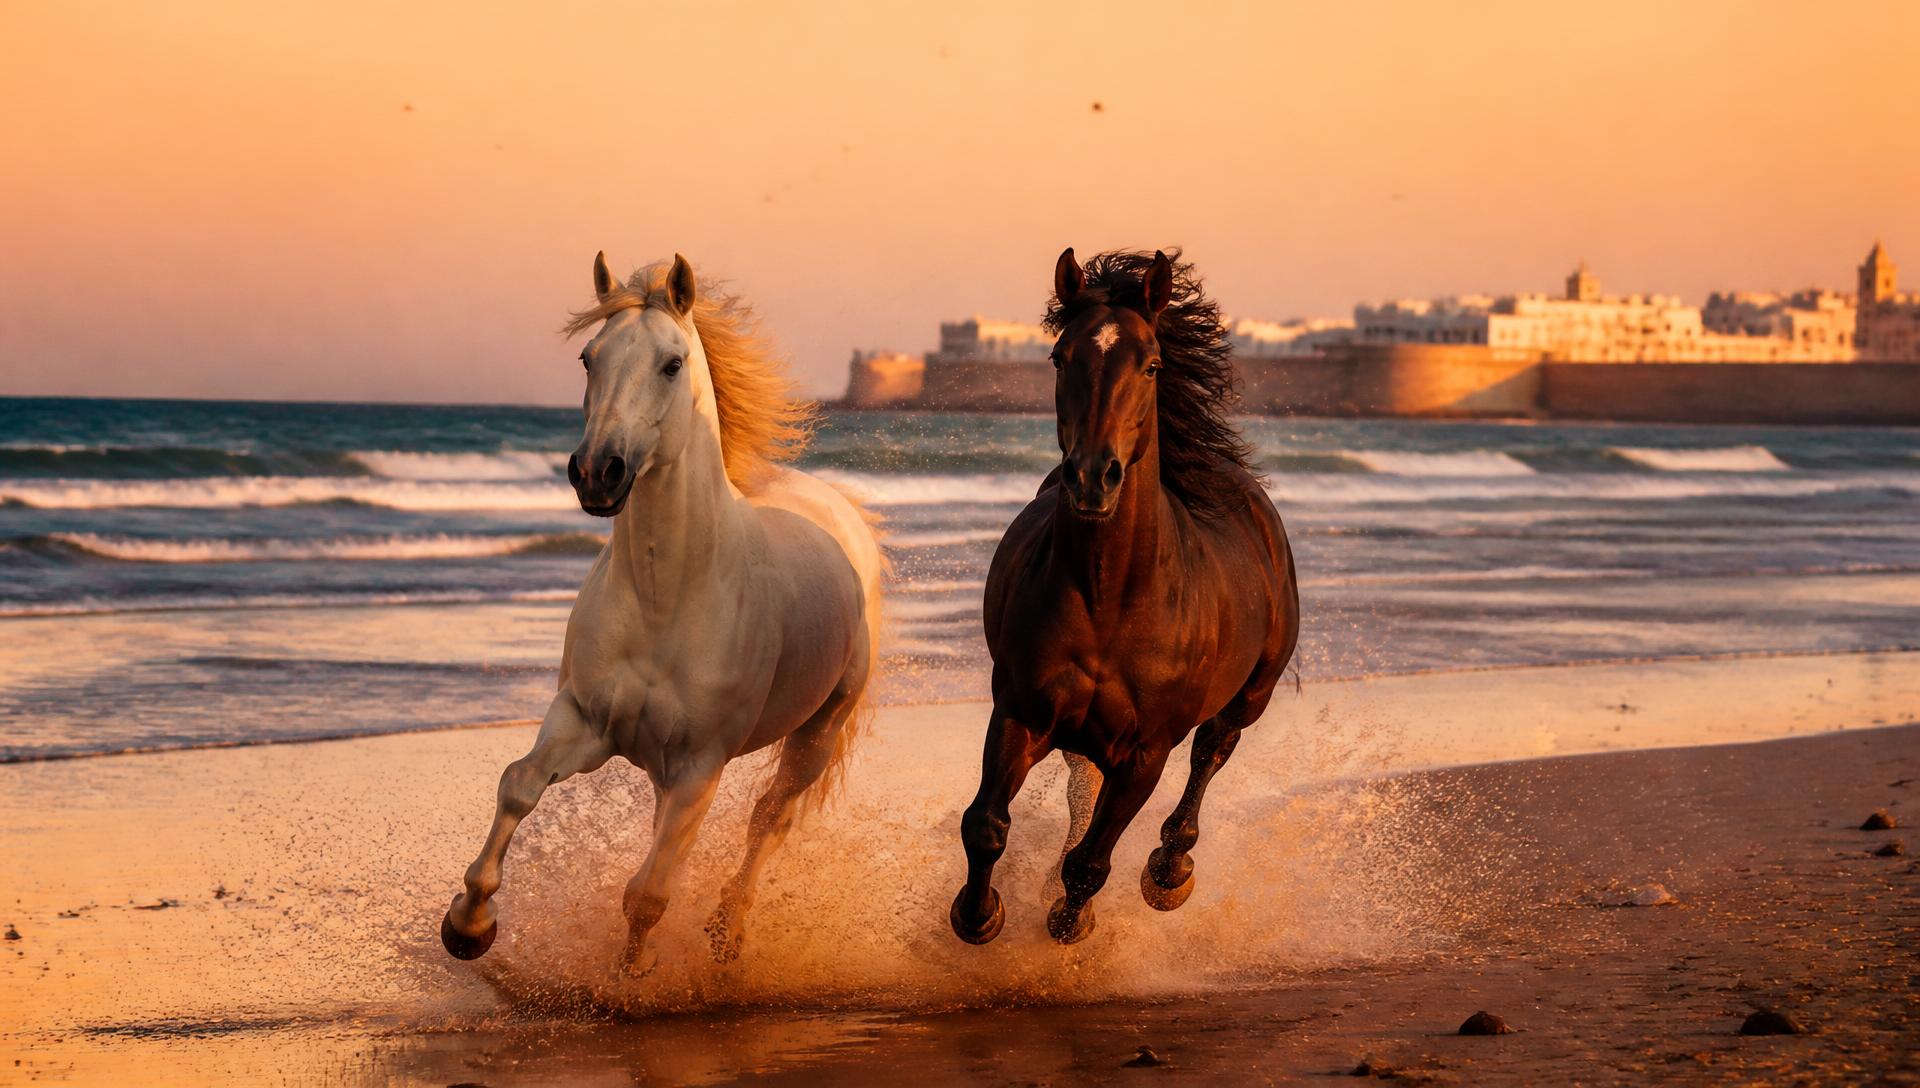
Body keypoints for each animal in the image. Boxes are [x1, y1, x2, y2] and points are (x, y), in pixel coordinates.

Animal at [440, 252, 884, 974]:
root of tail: (838, 510)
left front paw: (631, 977)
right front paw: (469, 923)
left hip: (815, 735)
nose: (598, 471)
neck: (667, 598)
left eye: (672, 364)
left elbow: (648, 893)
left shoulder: (703, 764)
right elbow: (519, 784)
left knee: (769, 819)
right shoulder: (584, 720)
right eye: (588, 358)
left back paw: (727, 932)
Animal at [949, 248, 1298, 946]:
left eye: (1152, 364)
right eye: (1060, 357)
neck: (1110, 599)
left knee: (1212, 752)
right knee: (1082, 787)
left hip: (1252, 695)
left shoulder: (1144, 753)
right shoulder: (1020, 712)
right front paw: (978, 915)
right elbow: (987, 824)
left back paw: (1171, 870)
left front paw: (1069, 923)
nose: (1093, 477)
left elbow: (1091, 864)